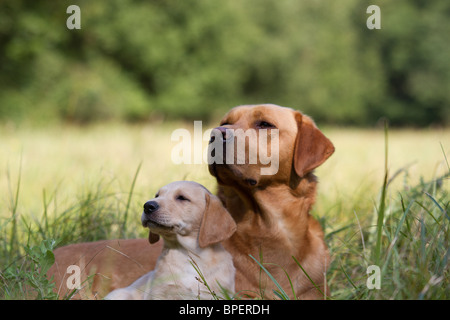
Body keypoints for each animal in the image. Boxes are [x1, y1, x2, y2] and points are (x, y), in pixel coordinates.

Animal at [103, 182, 236, 300]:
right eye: (157, 195)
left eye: (181, 198)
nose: (147, 206)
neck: (187, 253)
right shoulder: (160, 293)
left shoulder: (219, 293)